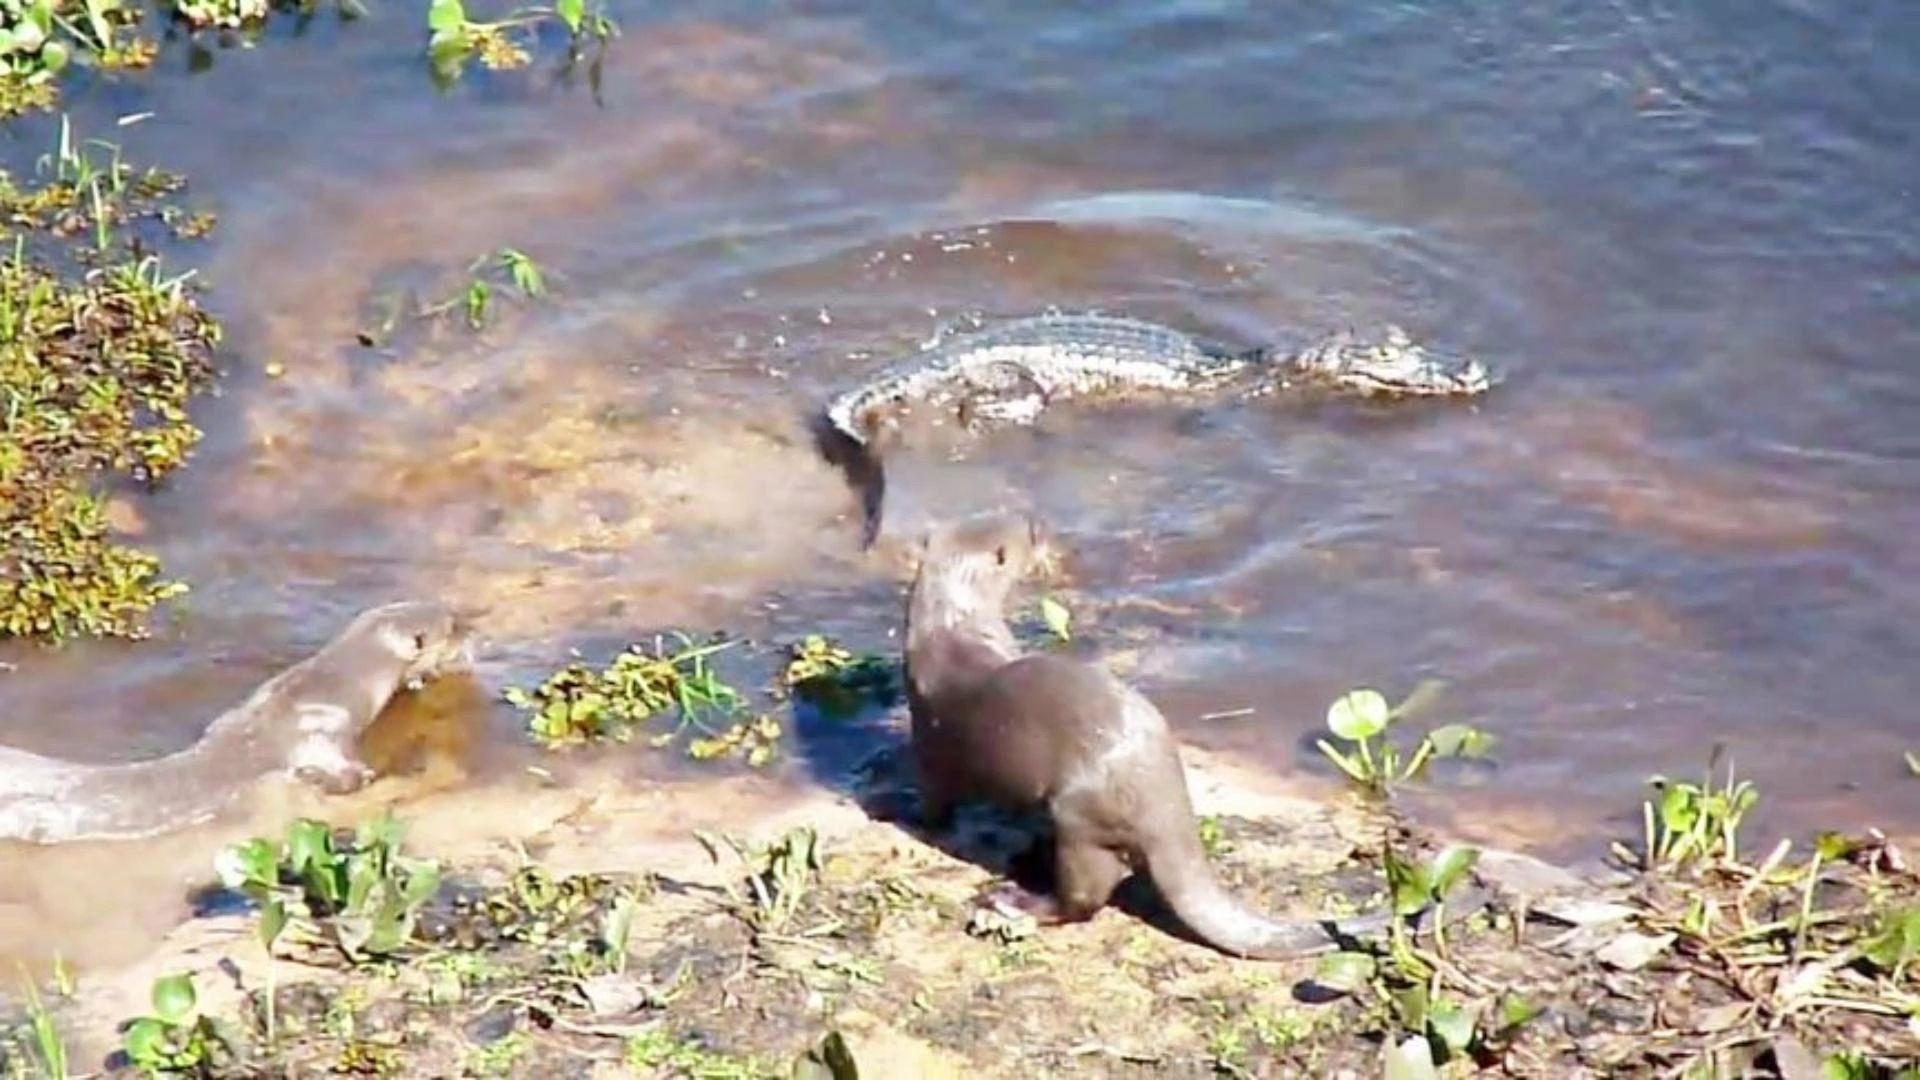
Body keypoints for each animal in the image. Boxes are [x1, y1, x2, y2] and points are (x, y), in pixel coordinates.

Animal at [906, 515, 1405, 957]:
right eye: (1026, 531)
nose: (1040, 524)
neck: (950, 626)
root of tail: (1162, 801)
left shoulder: (927, 737)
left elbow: (934, 797)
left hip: (1080, 815)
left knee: (1086, 898)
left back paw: (1014, 898)